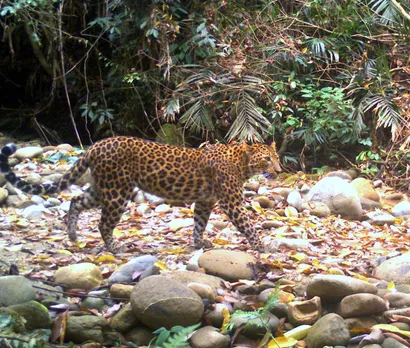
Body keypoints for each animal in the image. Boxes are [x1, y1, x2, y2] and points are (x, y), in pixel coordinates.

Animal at [0, 137, 282, 253]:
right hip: (118, 191)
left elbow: (199, 223)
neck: (242, 163)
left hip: (102, 188)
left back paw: (72, 234)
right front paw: (262, 245)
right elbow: (247, 223)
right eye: (267, 159)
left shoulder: (205, 201)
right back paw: (114, 247)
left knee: (76, 200)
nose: (279, 170)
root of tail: (94, 146)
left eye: (277, 157)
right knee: (104, 222)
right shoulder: (231, 201)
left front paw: (199, 243)